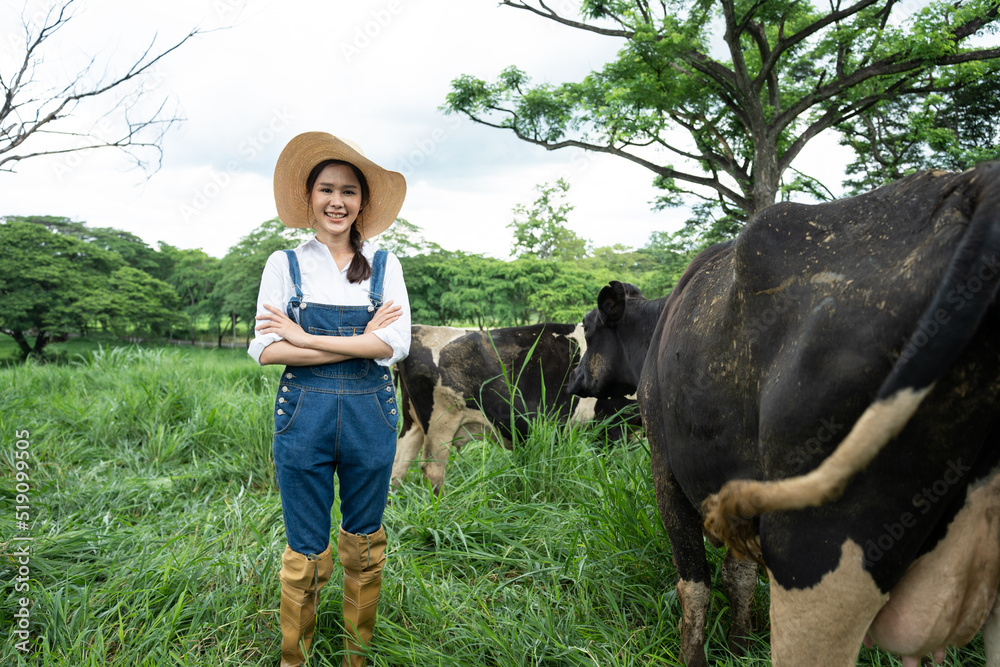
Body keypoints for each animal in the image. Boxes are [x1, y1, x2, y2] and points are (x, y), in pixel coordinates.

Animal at [390, 324, 632, 490]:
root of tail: (419, 329)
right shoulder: (612, 425)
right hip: (441, 422)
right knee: (432, 469)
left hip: (412, 423)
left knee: (397, 467)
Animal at [568, 163, 1000, 667]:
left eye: (589, 330)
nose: (573, 380)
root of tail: (970, 184)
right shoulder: (734, 479)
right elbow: (738, 577)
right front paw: (739, 647)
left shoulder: (665, 468)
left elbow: (693, 585)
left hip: (814, 550)